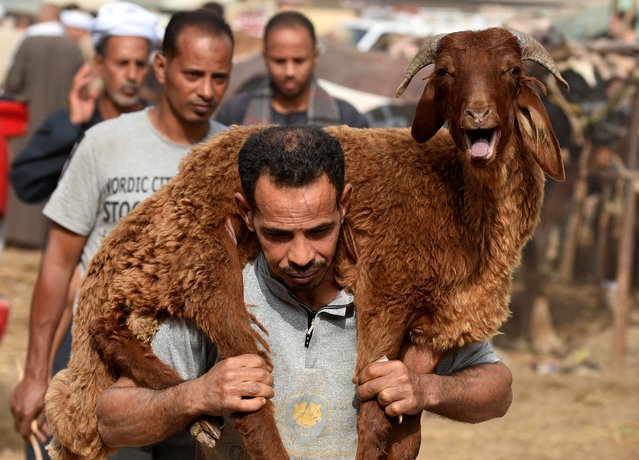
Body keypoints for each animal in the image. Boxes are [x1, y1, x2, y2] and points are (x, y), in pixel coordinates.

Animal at [45, 28, 564, 460]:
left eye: (512, 71)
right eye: (444, 73)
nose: (478, 115)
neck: (458, 197)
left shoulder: (441, 323)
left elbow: (407, 419)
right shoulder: (388, 286)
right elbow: (372, 416)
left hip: (157, 279)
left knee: (109, 329)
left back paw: (192, 410)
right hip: (203, 264)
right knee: (248, 396)